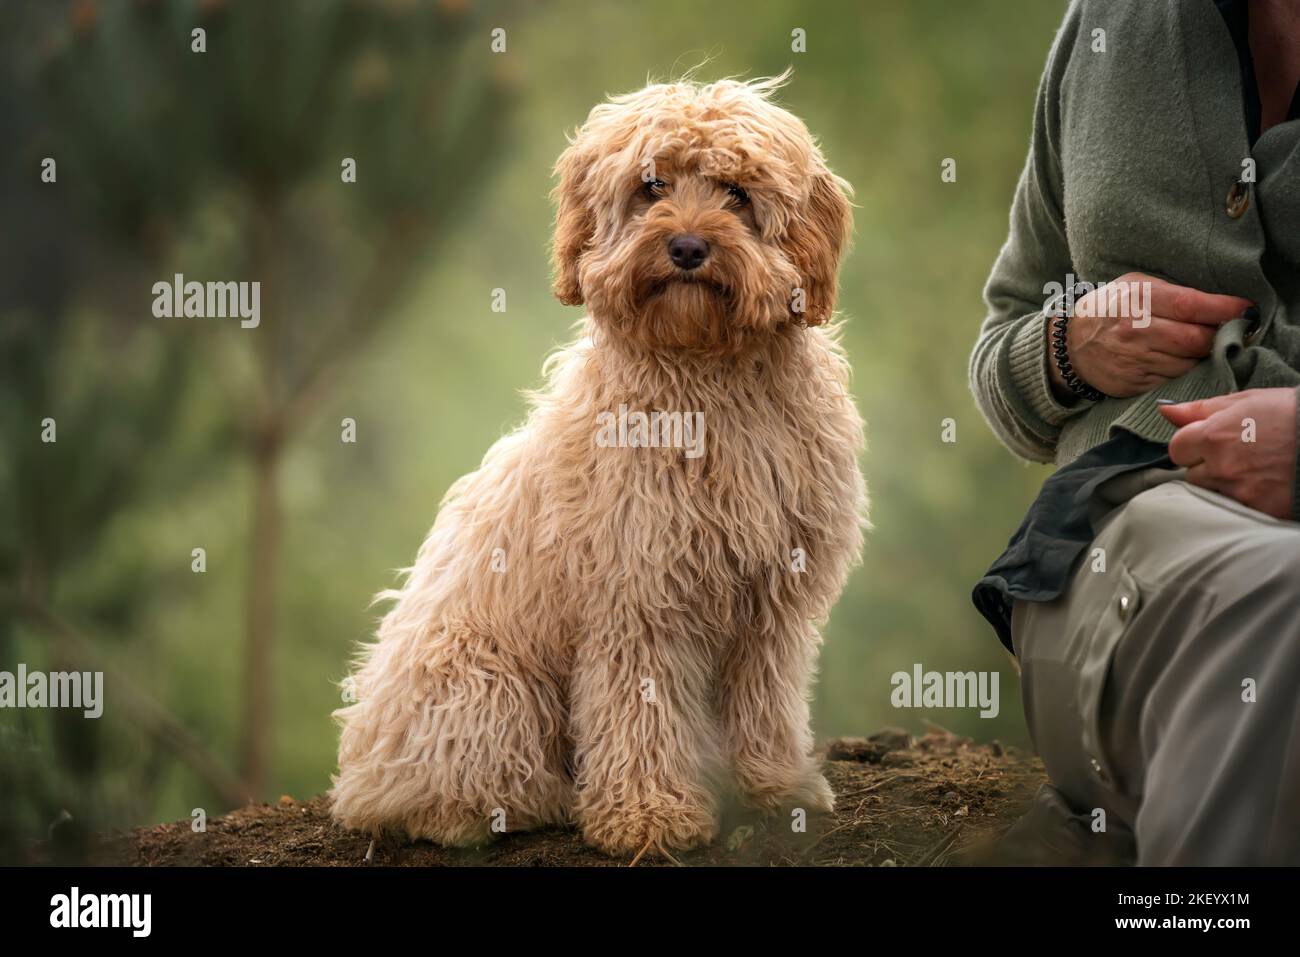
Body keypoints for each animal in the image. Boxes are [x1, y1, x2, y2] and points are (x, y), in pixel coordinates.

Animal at [330, 72, 868, 852]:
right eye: (652, 186)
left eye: (737, 192)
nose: (687, 247)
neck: (707, 381)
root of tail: (361, 765)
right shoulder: (637, 596)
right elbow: (638, 710)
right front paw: (649, 813)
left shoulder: (772, 600)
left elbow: (763, 695)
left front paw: (774, 786)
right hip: (485, 683)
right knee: (440, 790)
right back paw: (500, 806)